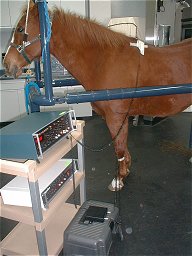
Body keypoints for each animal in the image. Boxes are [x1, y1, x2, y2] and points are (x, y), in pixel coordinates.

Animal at [3, 1, 191, 190]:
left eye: (20, 29)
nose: (6, 64)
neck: (103, 62)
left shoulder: (116, 118)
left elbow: (119, 148)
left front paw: (119, 178)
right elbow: (123, 147)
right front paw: (126, 170)